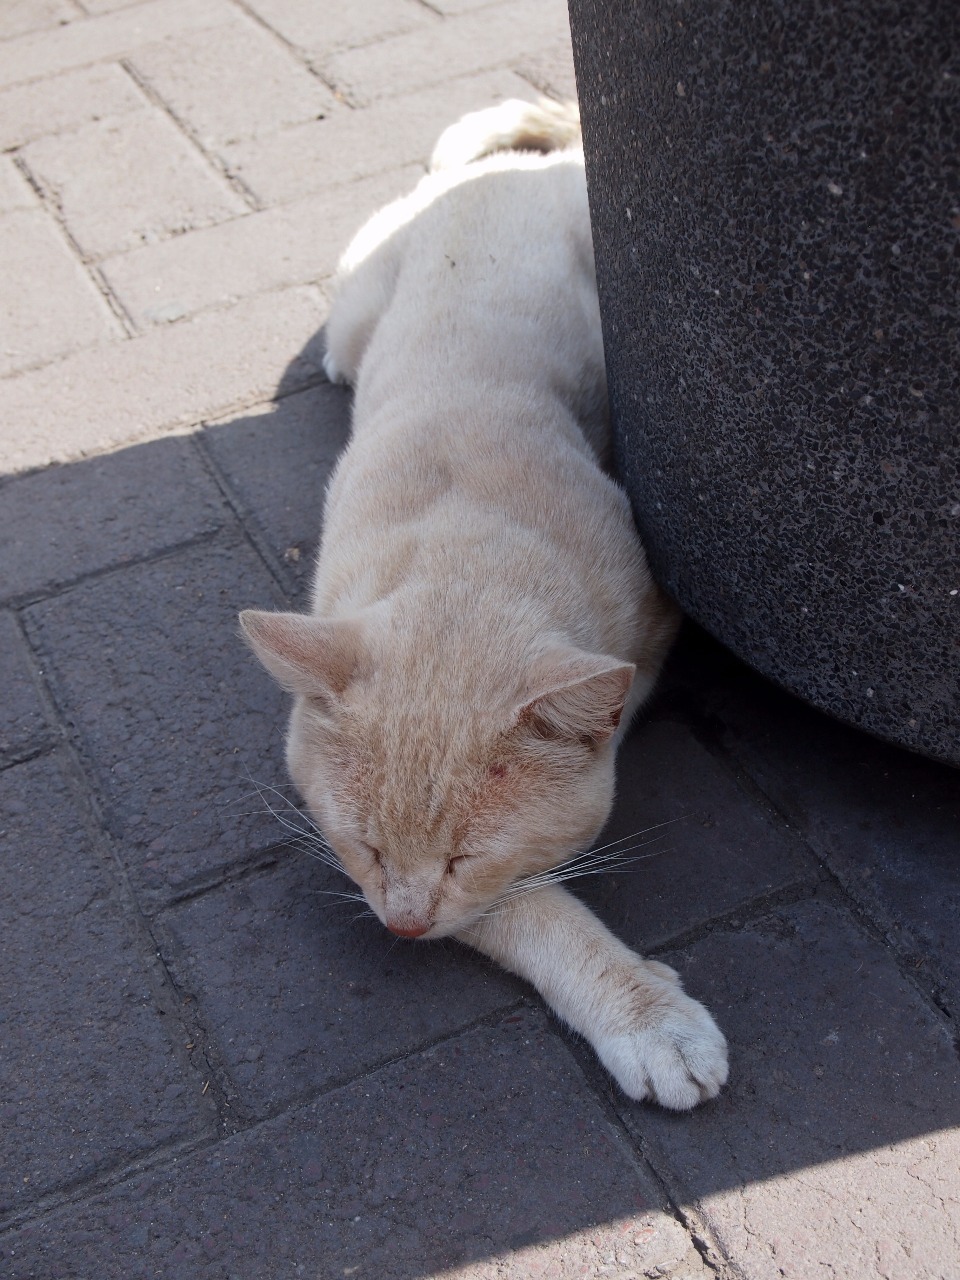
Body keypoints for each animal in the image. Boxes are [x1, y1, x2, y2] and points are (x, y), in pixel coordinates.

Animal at [241, 98, 728, 1110]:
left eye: (461, 856)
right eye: (365, 849)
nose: (400, 927)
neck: (466, 524)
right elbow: (536, 913)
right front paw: (646, 1020)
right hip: (356, 312)